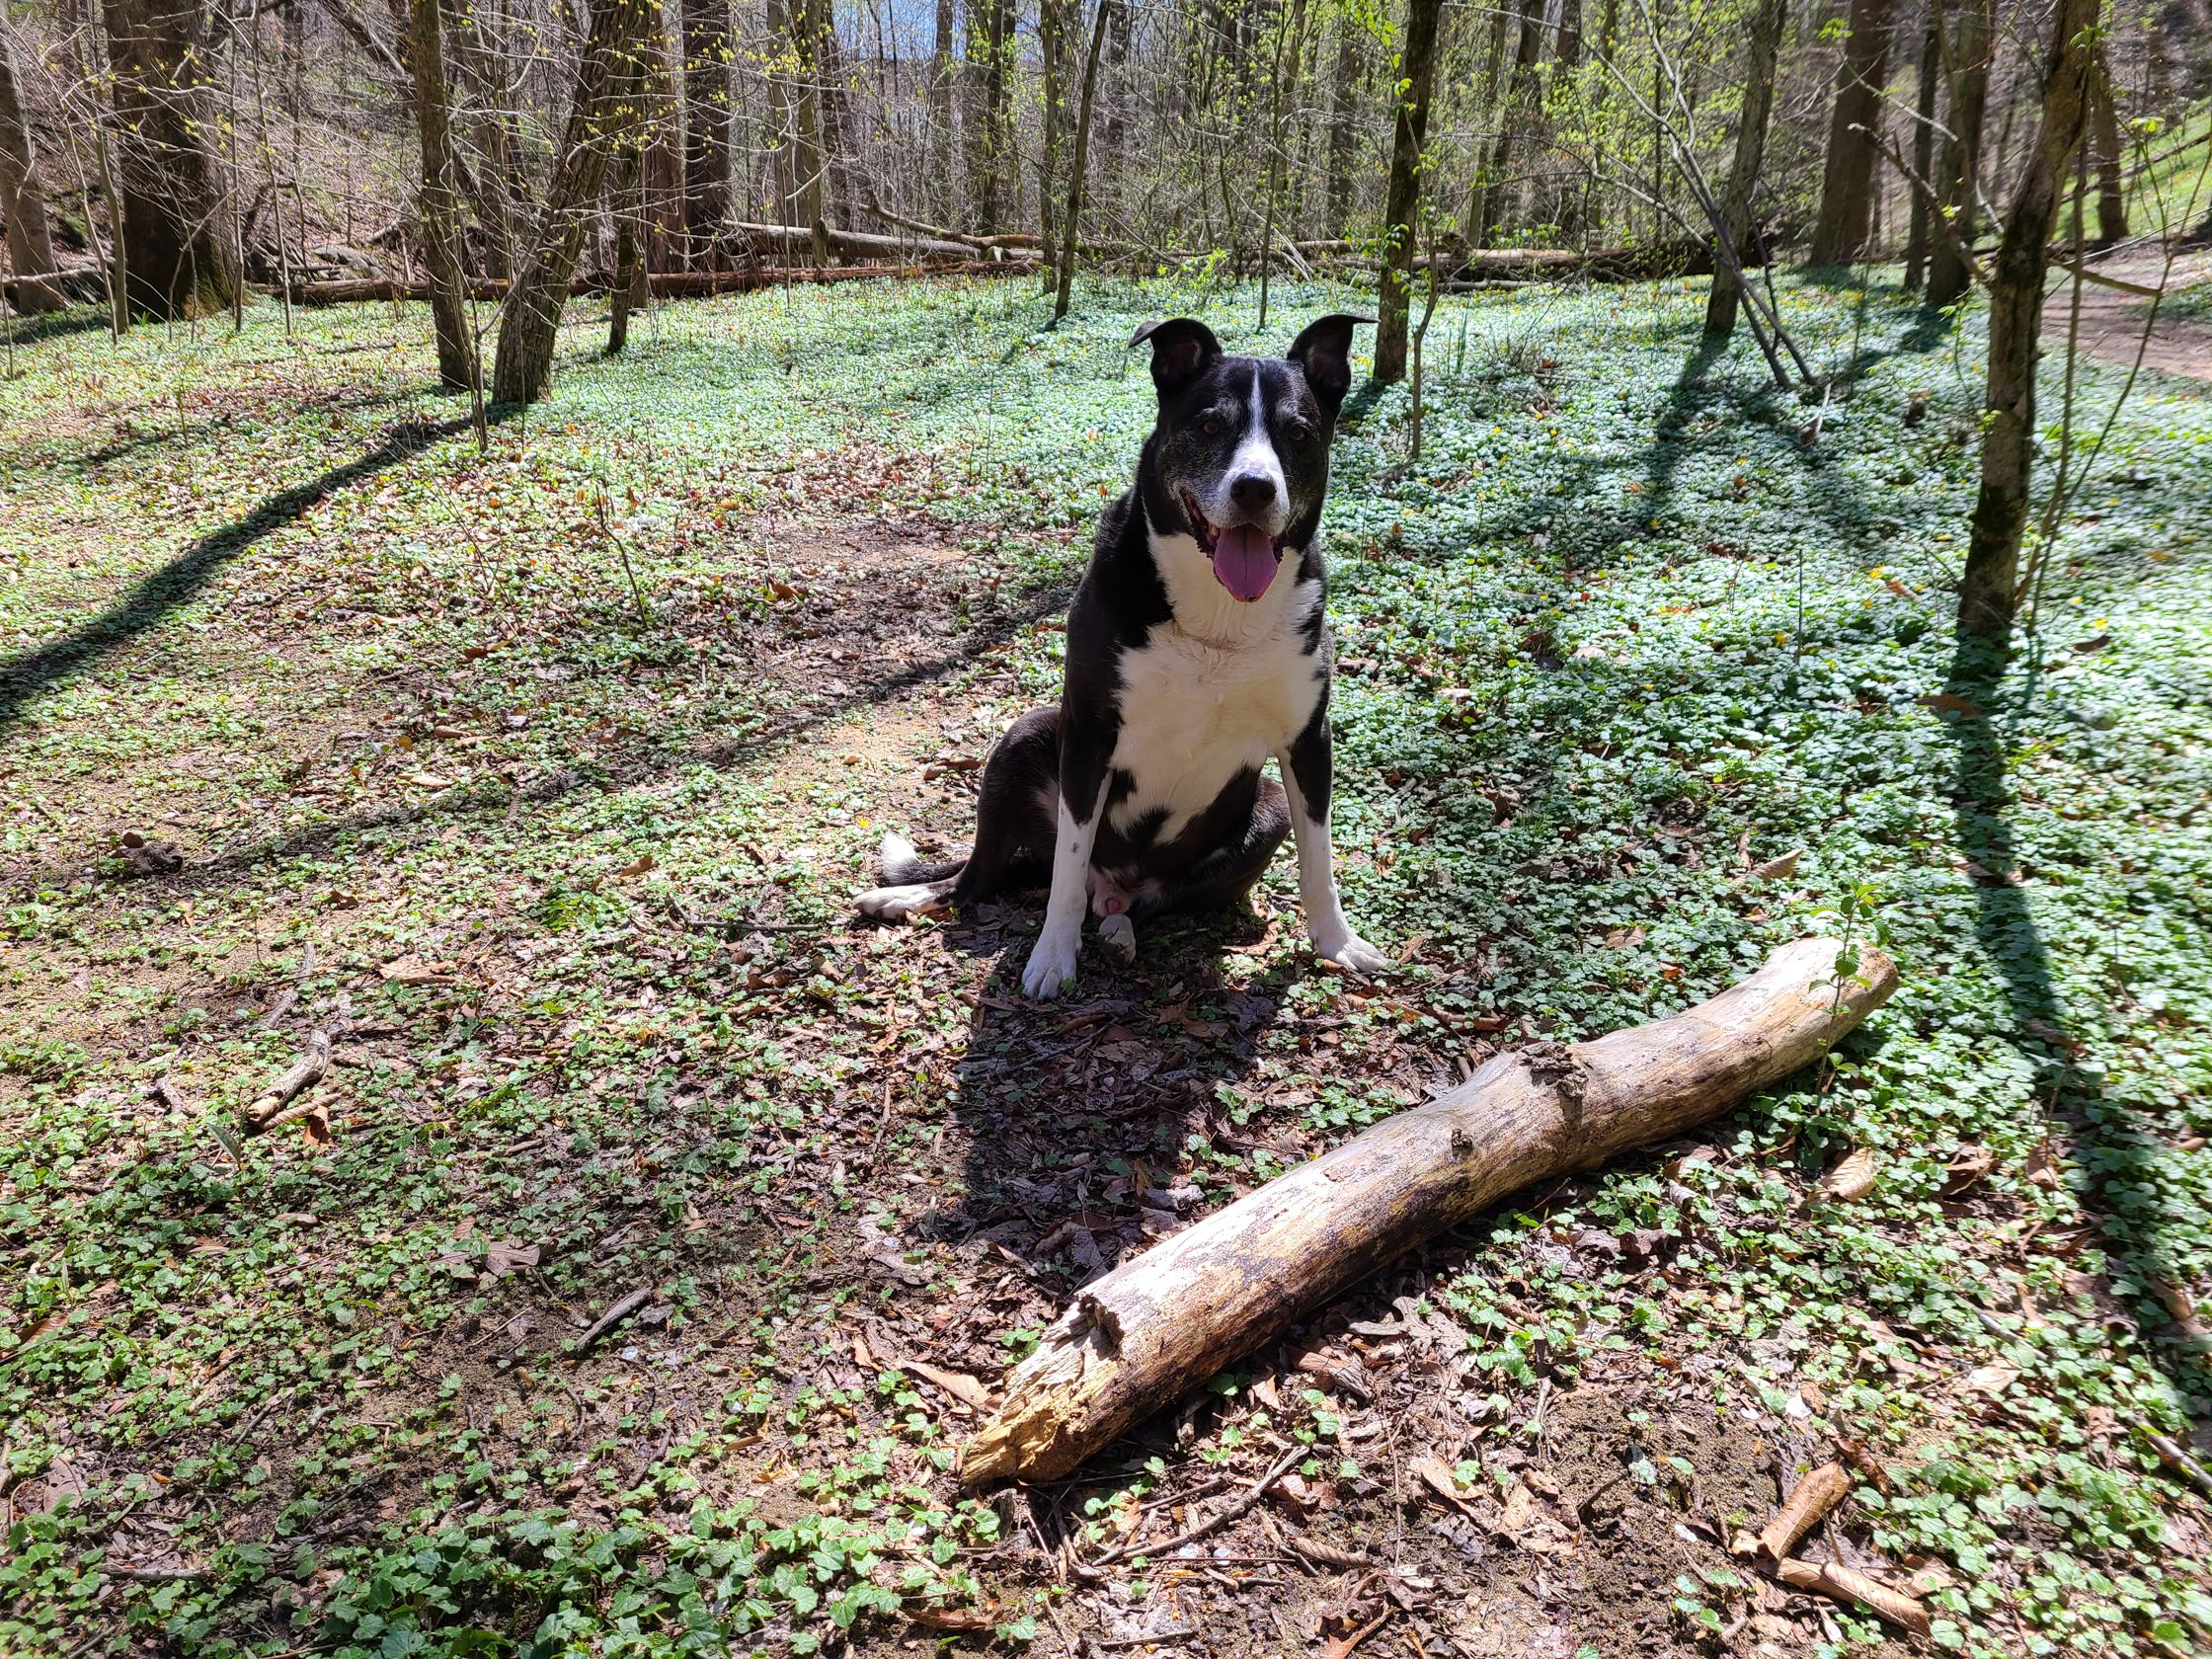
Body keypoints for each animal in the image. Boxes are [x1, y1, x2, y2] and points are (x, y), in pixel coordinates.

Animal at [856, 313, 1388, 999]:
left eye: (1297, 433)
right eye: (1210, 426)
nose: (1255, 489)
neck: (1219, 619)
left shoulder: (1308, 740)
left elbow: (1319, 858)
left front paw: (1337, 943)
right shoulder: (1088, 733)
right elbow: (1067, 865)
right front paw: (1053, 957)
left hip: (1262, 809)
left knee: (1145, 902)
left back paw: (1117, 930)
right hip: (1025, 737)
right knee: (987, 877)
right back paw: (915, 897)